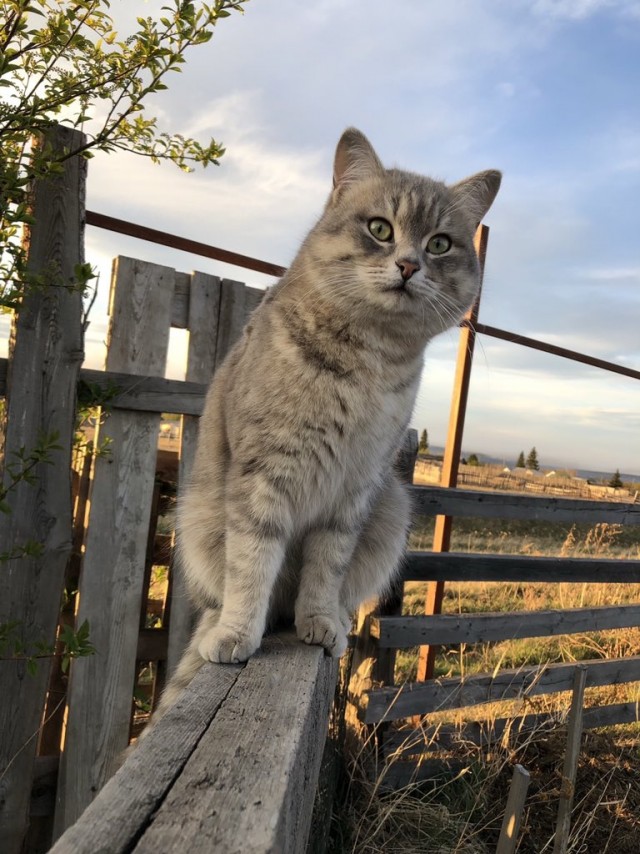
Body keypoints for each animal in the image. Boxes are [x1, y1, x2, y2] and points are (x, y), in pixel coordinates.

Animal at [154, 127, 500, 716]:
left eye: (439, 244)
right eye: (380, 229)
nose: (409, 265)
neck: (369, 358)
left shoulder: (355, 489)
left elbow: (327, 567)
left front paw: (318, 620)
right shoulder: (264, 474)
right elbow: (252, 563)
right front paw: (238, 633)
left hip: (390, 509)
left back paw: (331, 616)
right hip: (199, 519)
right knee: (230, 594)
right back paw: (221, 627)